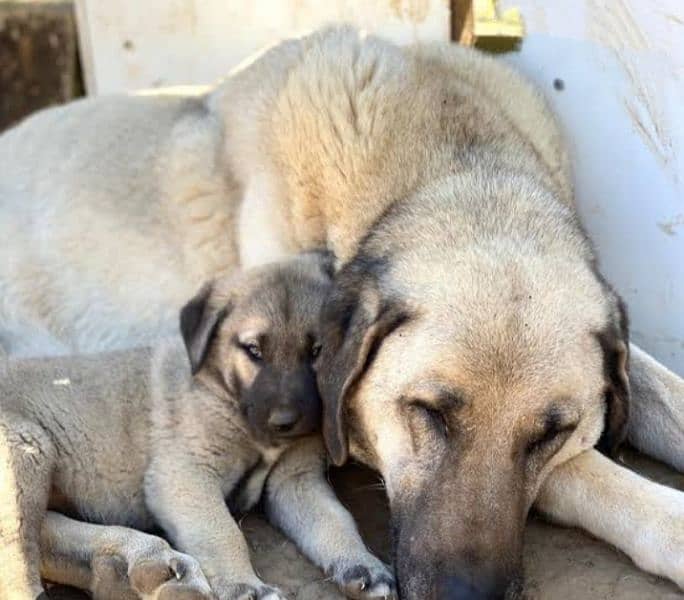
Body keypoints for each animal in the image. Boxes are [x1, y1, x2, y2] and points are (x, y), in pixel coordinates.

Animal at [0, 253, 396, 600]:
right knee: (20, 556)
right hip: (28, 448)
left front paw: (363, 564)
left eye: (317, 351)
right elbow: (223, 533)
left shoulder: (295, 481)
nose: (285, 422)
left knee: (47, 538)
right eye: (253, 350)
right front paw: (246, 586)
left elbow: (335, 520)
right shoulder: (185, 474)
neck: (224, 391)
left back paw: (137, 568)